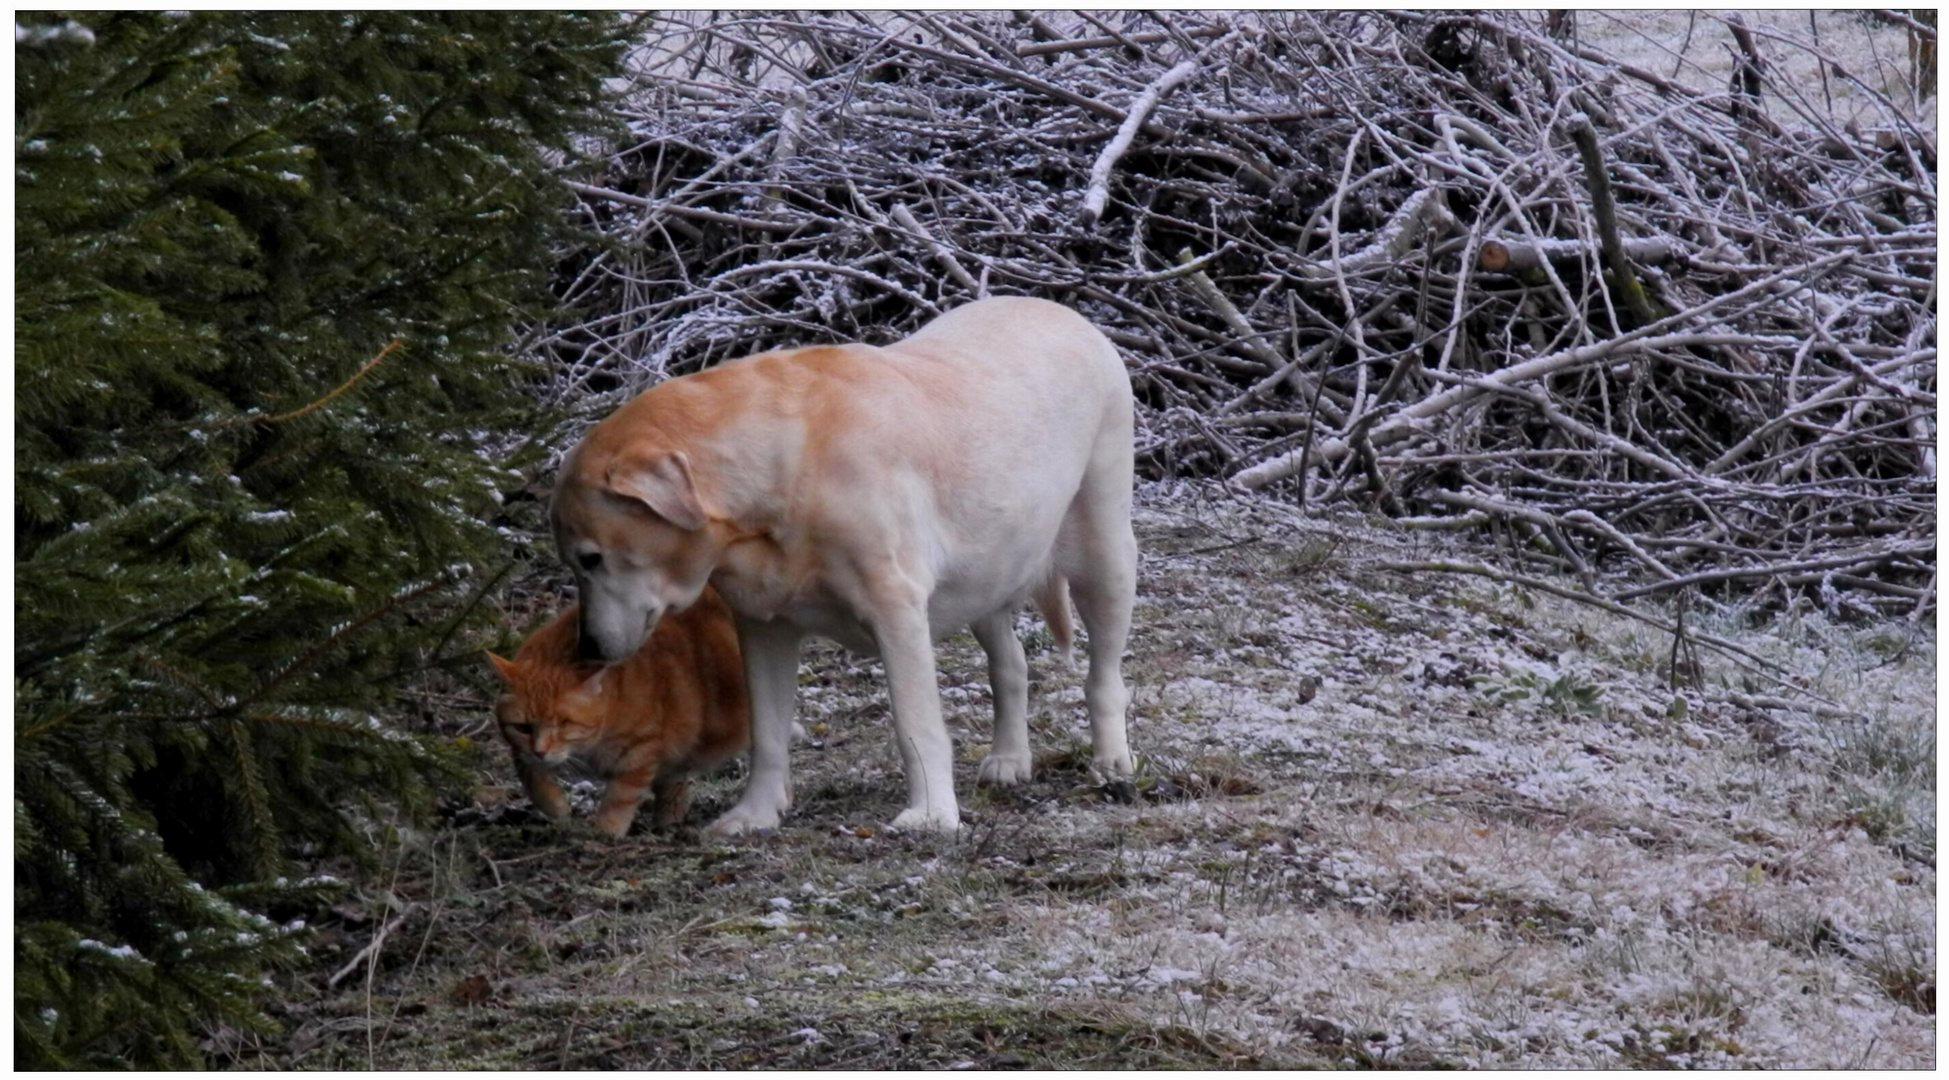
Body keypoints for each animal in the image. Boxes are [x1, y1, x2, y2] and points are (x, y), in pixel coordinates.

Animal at [491, 588, 748, 830]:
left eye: (564, 723)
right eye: (523, 728)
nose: (540, 752)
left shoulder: (641, 750)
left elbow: (620, 799)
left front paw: (605, 832)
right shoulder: (523, 750)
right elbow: (527, 770)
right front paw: (554, 804)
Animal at [549, 294, 1138, 830]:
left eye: (591, 559)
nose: (588, 648)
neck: (787, 469)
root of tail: (1065, 311)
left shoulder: (895, 610)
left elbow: (915, 723)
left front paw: (931, 815)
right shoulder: (763, 626)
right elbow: (767, 732)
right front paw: (755, 815)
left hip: (1103, 555)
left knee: (1103, 674)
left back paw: (1112, 760)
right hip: (988, 570)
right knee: (1010, 664)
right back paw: (1010, 759)